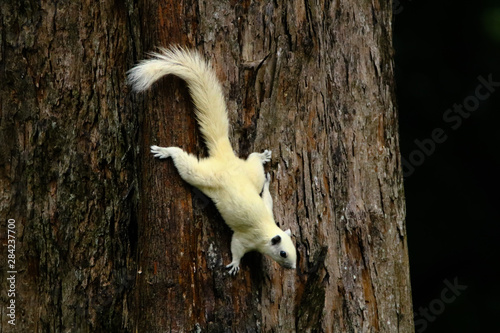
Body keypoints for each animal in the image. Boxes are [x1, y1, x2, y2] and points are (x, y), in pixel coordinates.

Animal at [127, 47, 296, 274]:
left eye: (295, 251)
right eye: (283, 253)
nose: (292, 268)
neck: (267, 229)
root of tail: (224, 157)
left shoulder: (267, 209)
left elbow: (267, 198)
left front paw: (269, 184)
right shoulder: (245, 238)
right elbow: (237, 247)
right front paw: (234, 265)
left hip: (251, 174)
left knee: (253, 161)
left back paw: (262, 157)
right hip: (204, 176)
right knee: (185, 164)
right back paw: (166, 151)